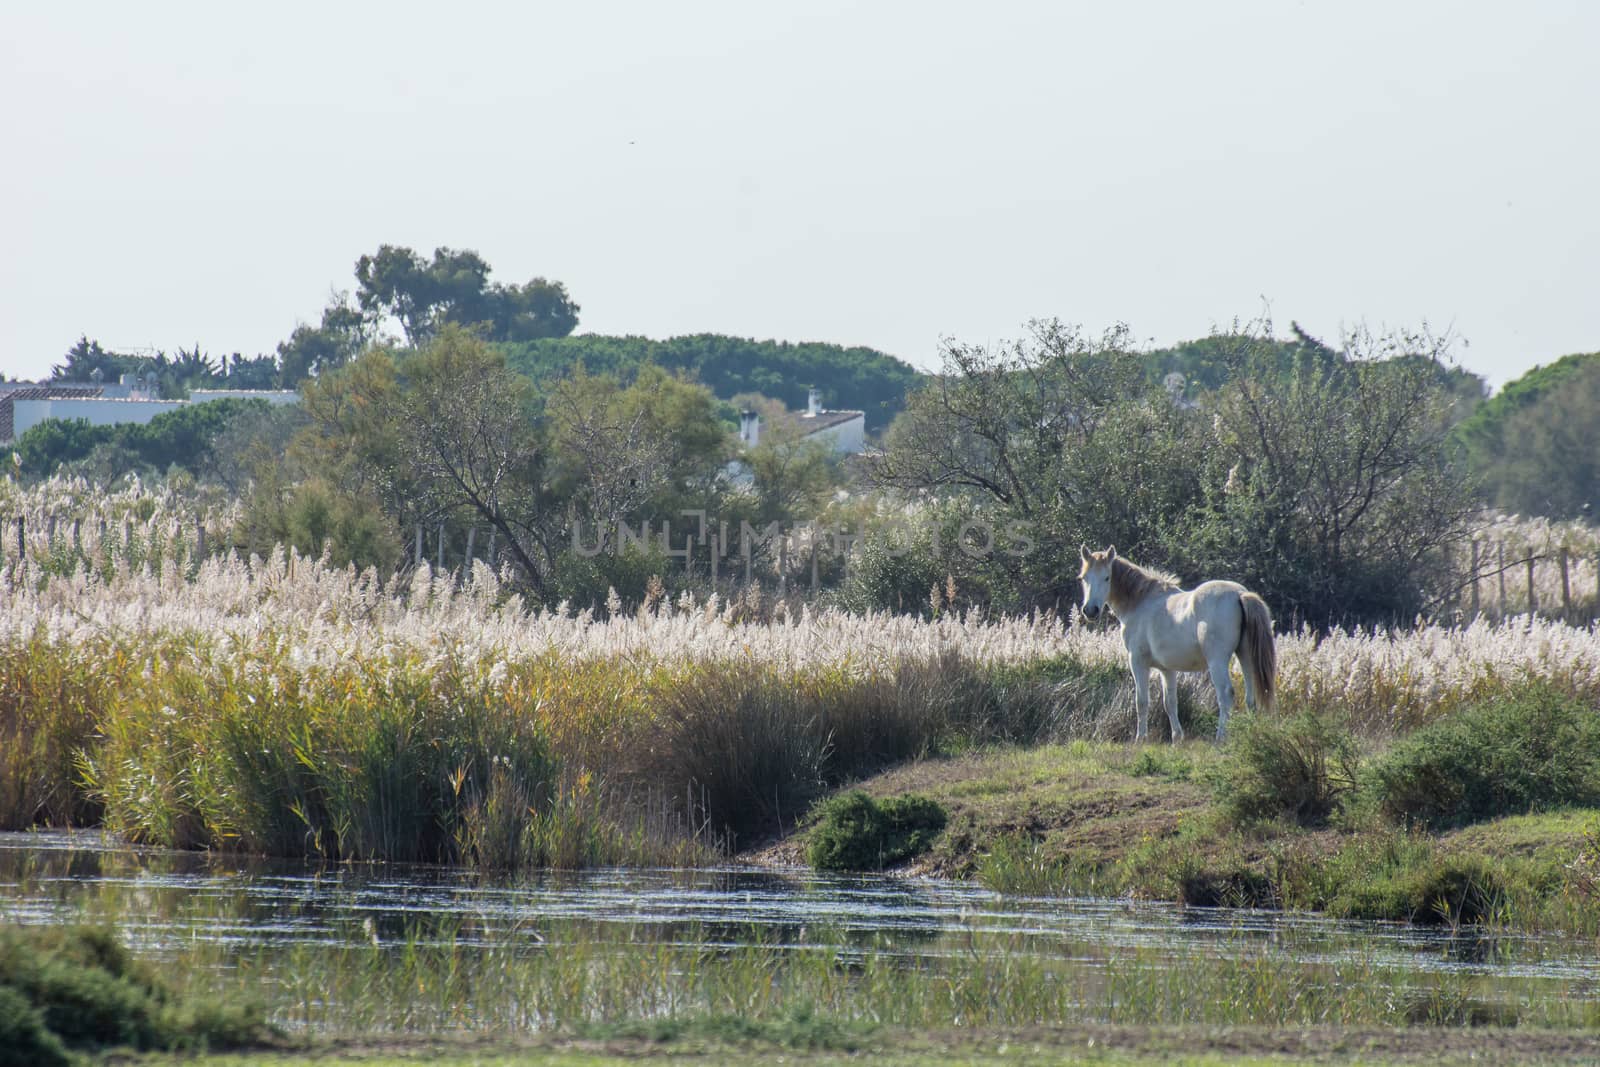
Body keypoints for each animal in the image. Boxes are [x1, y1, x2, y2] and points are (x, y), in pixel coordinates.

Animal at [1081, 547, 1280, 739]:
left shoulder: (1138, 662)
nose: (1090, 610)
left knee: (1225, 695)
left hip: (1217, 661)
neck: (1141, 602)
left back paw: (1220, 739)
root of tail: (1239, 594)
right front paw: (1177, 739)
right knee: (1250, 698)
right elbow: (1170, 703)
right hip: (1245, 655)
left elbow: (1142, 702)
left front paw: (1140, 739)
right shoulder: (1167, 669)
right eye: (1084, 578)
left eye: (1107, 577)